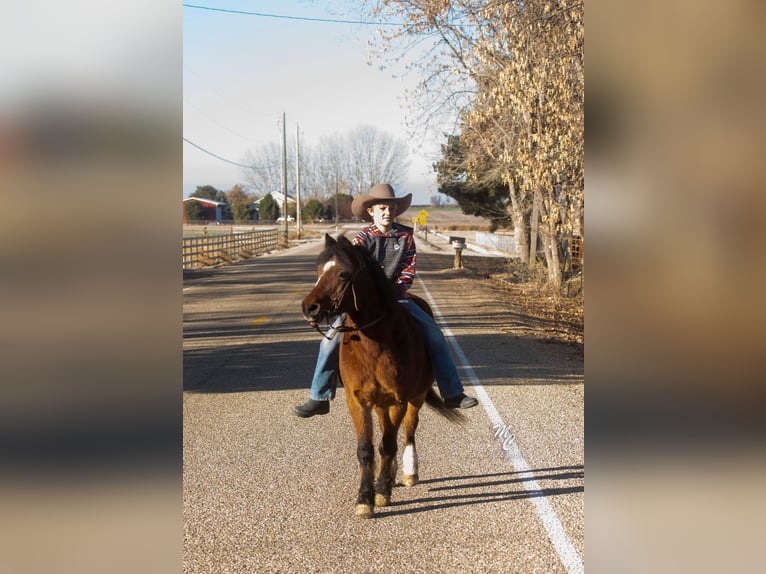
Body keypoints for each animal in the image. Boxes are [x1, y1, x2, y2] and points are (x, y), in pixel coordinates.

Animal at [304, 235, 464, 520]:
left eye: (343, 274)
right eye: (319, 271)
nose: (309, 307)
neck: (374, 342)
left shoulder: (398, 400)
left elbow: (388, 445)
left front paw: (380, 492)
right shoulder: (358, 401)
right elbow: (367, 449)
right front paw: (364, 498)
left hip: (415, 398)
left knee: (408, 431)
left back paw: (408, 473)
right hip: (381, 404)